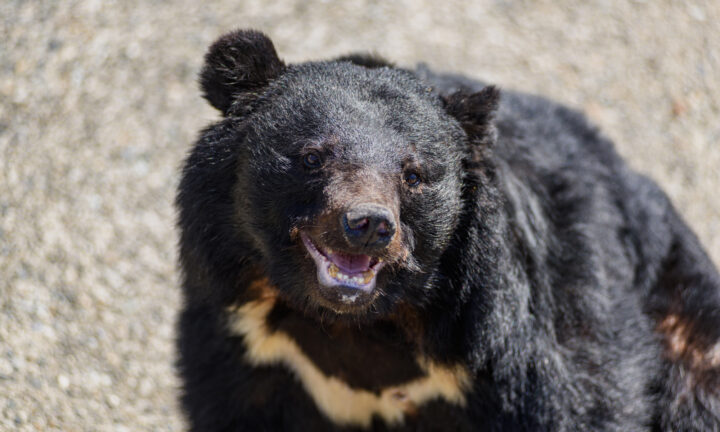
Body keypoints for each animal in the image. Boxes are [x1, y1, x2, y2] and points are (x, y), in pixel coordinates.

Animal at [176, 28, 720, 430]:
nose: (368, 224)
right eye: (312, 157)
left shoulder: (529, 339)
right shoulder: (242, 339)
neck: (359, 324)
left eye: (414, 175)